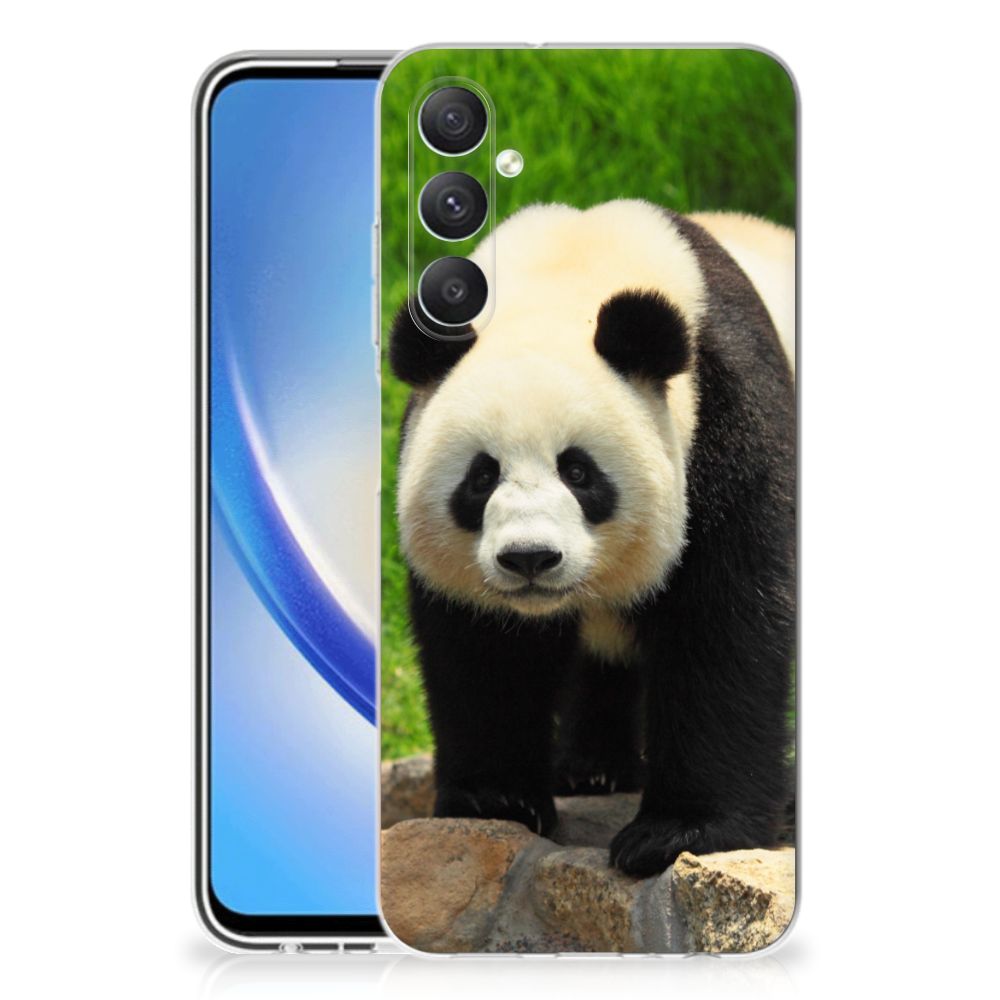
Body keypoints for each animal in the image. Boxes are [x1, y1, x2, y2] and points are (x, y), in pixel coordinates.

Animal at [388, 199, 795, 878]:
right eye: (481, 476)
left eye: (578, 472)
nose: (529, 558)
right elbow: (483, 648)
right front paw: (496, 800)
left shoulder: (729, 418)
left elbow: (727, 622)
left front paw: (677, 832)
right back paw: (593, 769)